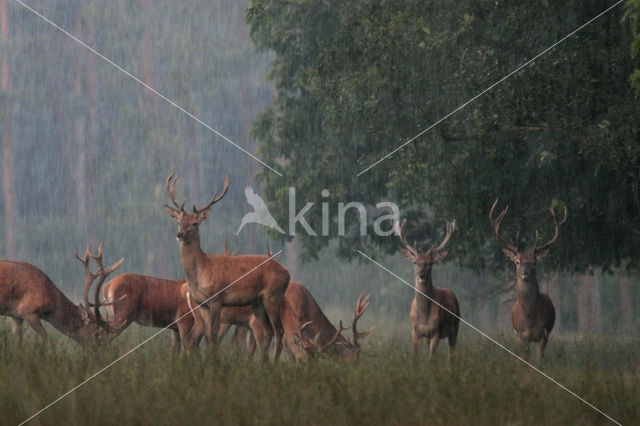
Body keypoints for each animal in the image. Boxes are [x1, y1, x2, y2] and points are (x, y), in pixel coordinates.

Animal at [165, 175, 290, 362]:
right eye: (179, 222)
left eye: (194, 223)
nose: (180, 234)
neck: (201, 271)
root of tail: (287, 273)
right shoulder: (201, 303)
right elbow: (208, 337)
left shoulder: (217, 298)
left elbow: (213, 335)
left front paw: (213, 363)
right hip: (257, 302)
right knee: (267, 331)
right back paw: (264, 364)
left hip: (273, 295)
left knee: (279, 330)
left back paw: (273, 364)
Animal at [396, 218, 460, 362]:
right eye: (414, 262)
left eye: (430, 263)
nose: (421, 275)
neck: (424, 318)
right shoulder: (415, 331)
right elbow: (416, 358)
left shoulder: (437, 331)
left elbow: (431, 360)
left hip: (455, 328)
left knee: (452, 354)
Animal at [490, 198, 564, 362]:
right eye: (517, 262)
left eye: (534, 262)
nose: (525, 273)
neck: (530, 318)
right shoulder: (521, 335)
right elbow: (524, 360)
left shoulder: (543, 334)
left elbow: (539, 361)